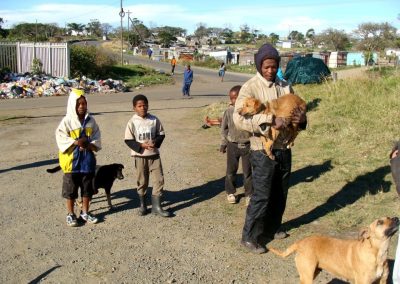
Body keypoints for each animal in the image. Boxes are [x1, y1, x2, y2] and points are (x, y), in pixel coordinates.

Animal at [268, 216, 400, 282]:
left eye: (389, 217)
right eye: (380, 222)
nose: (396, 218)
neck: (378, 253)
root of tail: (300, 242)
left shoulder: (382, 281)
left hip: (314, 271)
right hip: (307, 275)